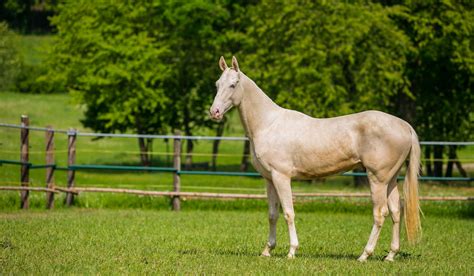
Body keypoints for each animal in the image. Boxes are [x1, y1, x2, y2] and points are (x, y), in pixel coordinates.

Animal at [209, 55, 420, 260]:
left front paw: (292, 251)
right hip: (390, 180)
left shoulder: (281, 177)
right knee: (396, 212)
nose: (214, 112)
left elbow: (288, 213)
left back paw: (364, 255)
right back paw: (390, 255)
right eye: (217, 84)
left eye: (234, 84)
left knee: (380, 213)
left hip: (377, 179)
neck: (269, 124)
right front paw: (267, 250)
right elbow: (272, 214)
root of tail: (405, 126)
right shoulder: (269, 179)